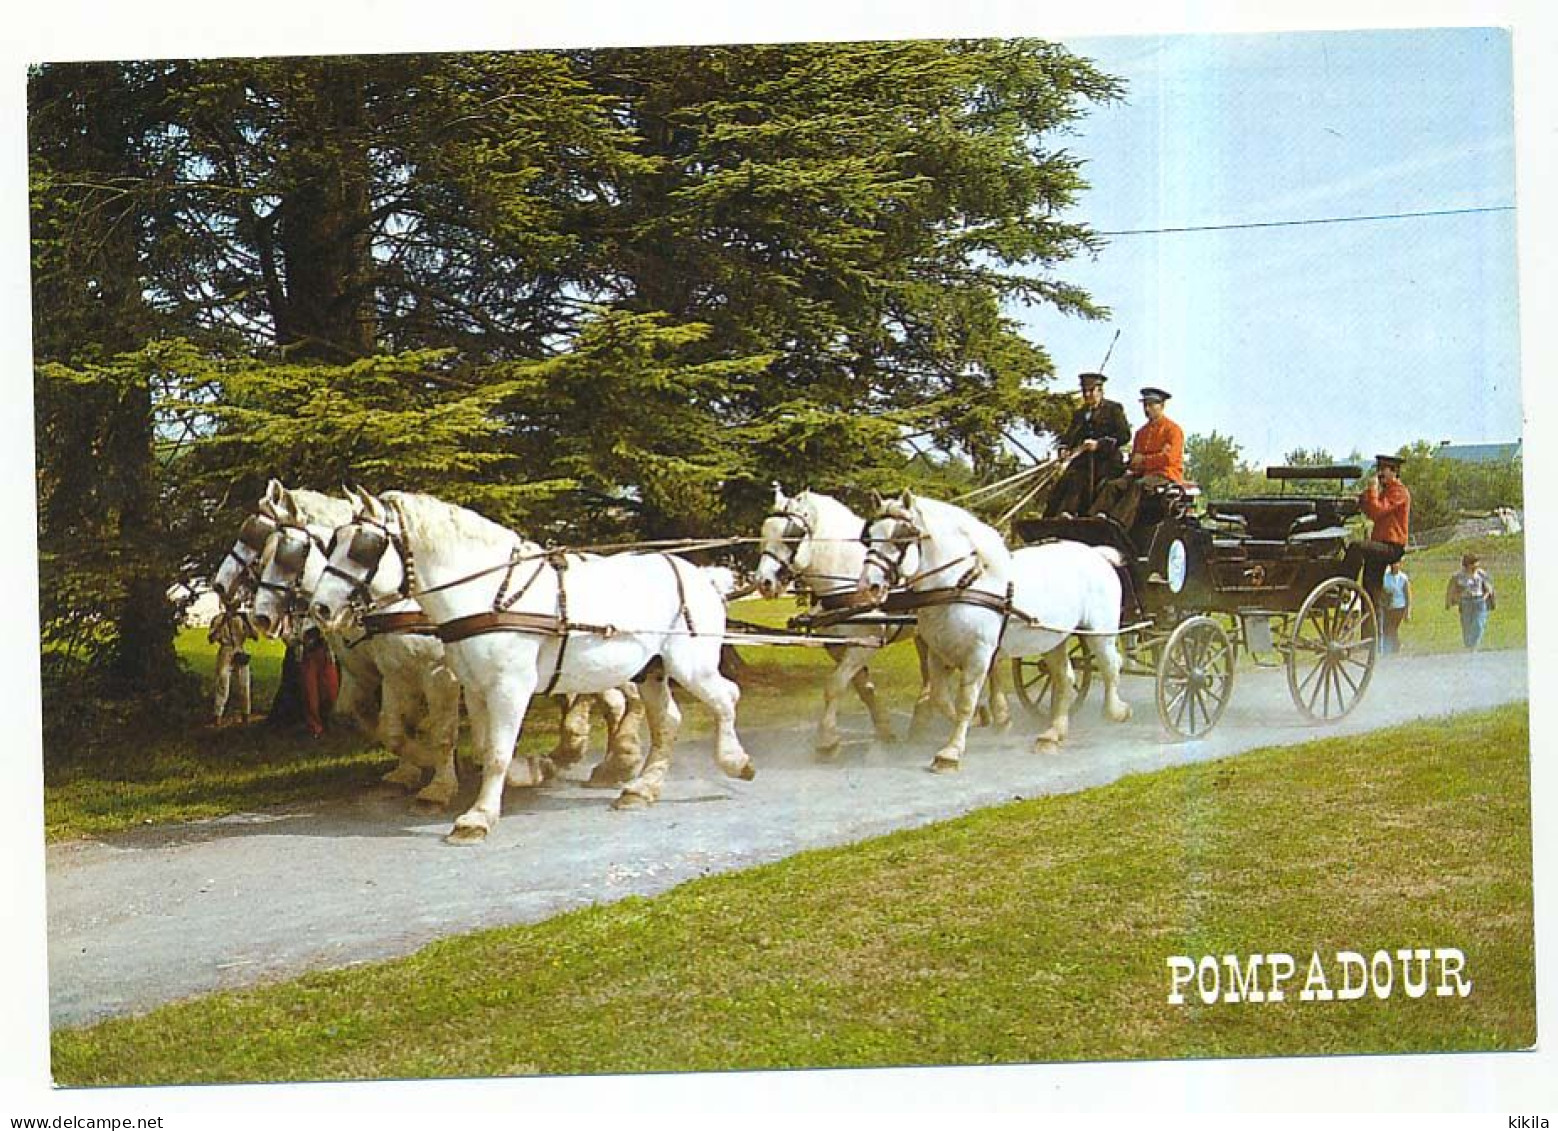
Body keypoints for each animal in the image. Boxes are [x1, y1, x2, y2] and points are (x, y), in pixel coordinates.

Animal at [305, 486, 754, 841]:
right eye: (332, 543)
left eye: (364, 548)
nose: (320, 608)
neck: (488, 593)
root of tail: (702, 576)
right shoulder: (475, 688)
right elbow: (485, 747)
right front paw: (531, 771)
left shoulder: (508, 687)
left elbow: (497, 752)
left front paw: (478, 817)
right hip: (653, 670)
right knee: (668, 722)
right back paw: (640, 788)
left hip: (690, 665)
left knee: (726, 697)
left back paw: (735, 762)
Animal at [750, 486, 934, 754]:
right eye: (764, 533)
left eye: (792, 536)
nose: (763, 582)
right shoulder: (838, 646)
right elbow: (864, 690)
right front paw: (884, 731)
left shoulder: (865, 643)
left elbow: (834, 686)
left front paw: (827, 740)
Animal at [860, 492, 1127, 775]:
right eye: (869, 536)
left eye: (899, 538)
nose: (868, 586)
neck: (961, 585)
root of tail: (1096, 553)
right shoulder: (938, 652)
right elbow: (941, 699)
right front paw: (986, 719)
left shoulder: (978, 654)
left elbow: (965, 701)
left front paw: (951, 752)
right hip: (1053, 637)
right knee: (1065, 678)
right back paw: (1053, 734)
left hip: (1100, 631)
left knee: (1110, 666)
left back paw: (1115, 712)